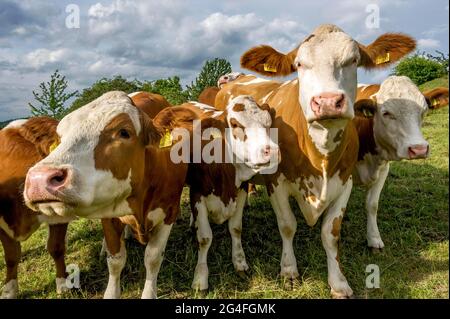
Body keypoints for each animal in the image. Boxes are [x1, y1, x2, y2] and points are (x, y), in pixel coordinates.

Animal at [24, 92, 188, 300]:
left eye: (124, 132)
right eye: (60, 138)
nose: (38, 179)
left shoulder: (169, 212)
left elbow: (152, 258)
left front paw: (149, 293)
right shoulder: (108, 216)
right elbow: (115, 260)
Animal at [153, 95, 278, 292]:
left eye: (268, 123)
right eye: (235, 124)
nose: (271, 151)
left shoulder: (241, 190)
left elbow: (236, 228)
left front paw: (239, 262)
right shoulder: (197, 192)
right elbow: (205, 238)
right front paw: (200, 277)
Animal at [214, 23, 414, 298]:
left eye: (354, 60)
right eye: (299, 64)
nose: (328, 102)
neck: (320, 154)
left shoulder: (344, 181)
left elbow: (331, 233)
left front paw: (338, 283)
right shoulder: (277, 183)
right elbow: (287, 226)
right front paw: (289, 271)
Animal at [354, 77, 448, 250]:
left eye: (424, 111)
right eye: (386, 113)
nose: (419, 149)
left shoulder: (383, 169)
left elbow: (372, 205)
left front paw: (374, 239)